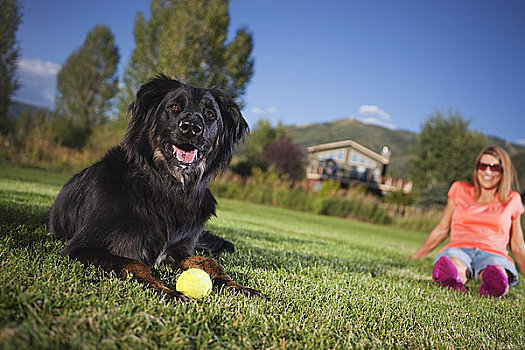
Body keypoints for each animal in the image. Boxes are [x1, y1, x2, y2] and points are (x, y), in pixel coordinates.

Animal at [49, 76, 258, 300]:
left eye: (210, 114)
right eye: (174, 107)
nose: (191, 127)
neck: (168, 187)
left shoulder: (180, 252)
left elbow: (210, 261)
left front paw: (238, 287)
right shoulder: (80, 248)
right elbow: (134, 263)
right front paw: (168, 292)